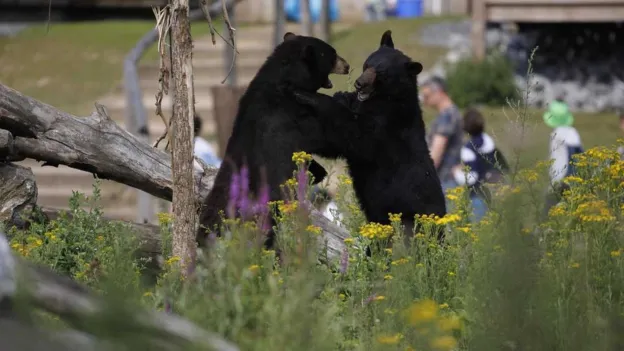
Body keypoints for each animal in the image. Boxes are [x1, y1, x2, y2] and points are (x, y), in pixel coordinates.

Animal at [294, 29, 446, 242]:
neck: (385, 100)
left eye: (381, 73)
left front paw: (310, 96)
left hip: (408, 221)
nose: (359, 84)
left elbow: (356, 136)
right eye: (368, 65)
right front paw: (341, 96)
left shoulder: (387, 126)